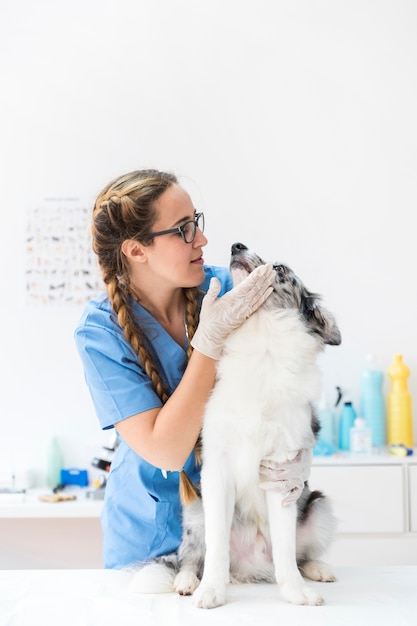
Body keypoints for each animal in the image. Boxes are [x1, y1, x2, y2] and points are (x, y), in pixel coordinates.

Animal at [131, 243, 342, 604]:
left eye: (280, 268)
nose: (237, 246)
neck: (262, 344)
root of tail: (252, 569)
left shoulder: (281, 470)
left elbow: (286, 547)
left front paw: (295, 592)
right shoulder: (217, 469)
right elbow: (216, 547)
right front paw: (211, 591)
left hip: (319, 506)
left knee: (300, 554)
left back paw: (316, 569)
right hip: (196, 510)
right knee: (191, 557)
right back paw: (187, 581)